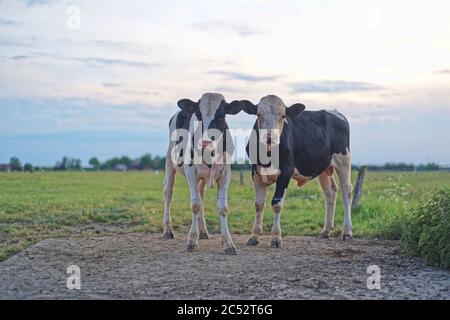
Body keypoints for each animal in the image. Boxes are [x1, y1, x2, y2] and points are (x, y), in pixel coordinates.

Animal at [163, 92, 246, 255]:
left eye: (221, 117)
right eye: (199, 115)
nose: (205, 143)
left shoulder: (225, 174)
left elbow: (222, 207)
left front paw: (228, 243)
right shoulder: (191, 172)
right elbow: (195, 205)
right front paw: (191, 241)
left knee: (201, 195)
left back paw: (202, 231)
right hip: (170, 161)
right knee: (168, 193)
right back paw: (168, 230)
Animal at [243, 95, 356, 248]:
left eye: (283, 116)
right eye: (259, 114)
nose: (270, 138)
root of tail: (334, 112)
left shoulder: (286, 172)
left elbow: (276, 203)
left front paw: (276, 238)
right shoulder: (256, 173)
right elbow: (259, 205)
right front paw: (254, 236)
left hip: (343, 160)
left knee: (346, 191)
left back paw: (347, 232)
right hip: (322, 167)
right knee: (330, 192)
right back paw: (326, 231)